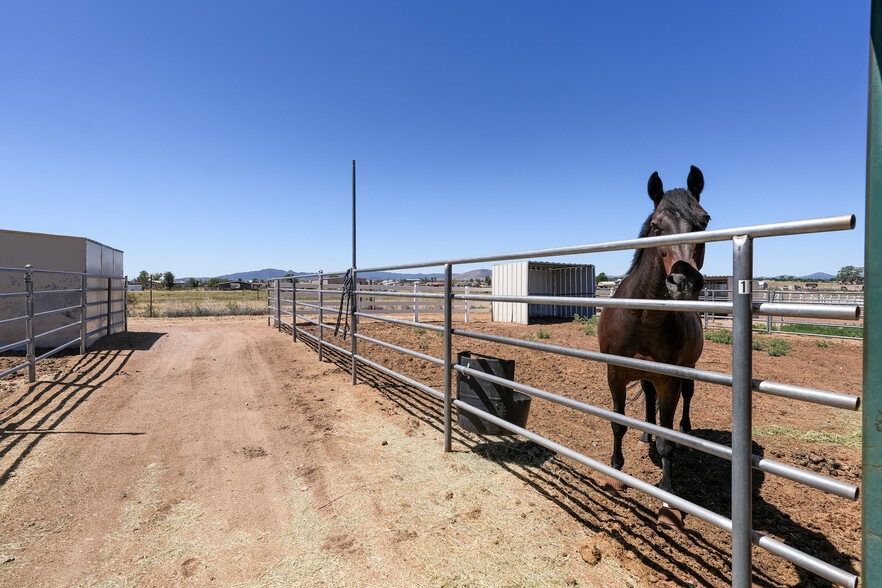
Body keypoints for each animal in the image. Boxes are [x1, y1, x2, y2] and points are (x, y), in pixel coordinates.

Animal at [597, 165, 710, 526]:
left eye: (704, 221)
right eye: (657, 226)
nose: (683, 282)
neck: (644, 317)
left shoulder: (668, 381)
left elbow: (666, 443)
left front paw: (669, 502)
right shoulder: (616, 374)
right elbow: (618, 423)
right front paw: (616, 475)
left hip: (686, 371)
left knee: (685, 402)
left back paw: (685, 432)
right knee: (648, 402)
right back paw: (645, 432)